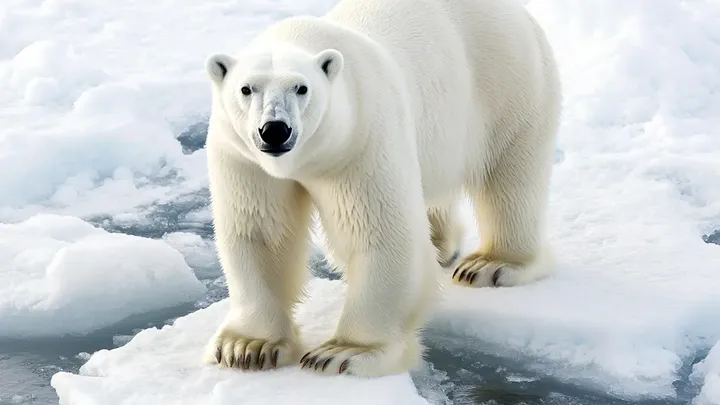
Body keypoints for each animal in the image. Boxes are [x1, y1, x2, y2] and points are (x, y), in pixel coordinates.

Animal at [202, 0, 561, 377]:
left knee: (510, 178)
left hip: (509, 83)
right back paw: (442, 246)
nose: (274, 130)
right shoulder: (242, 157)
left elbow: (381, 234)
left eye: (302, 88)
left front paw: (343, 352)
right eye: (246, 89)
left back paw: (490, 264)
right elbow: (260, 233)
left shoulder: (362, 139)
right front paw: (247, 347)